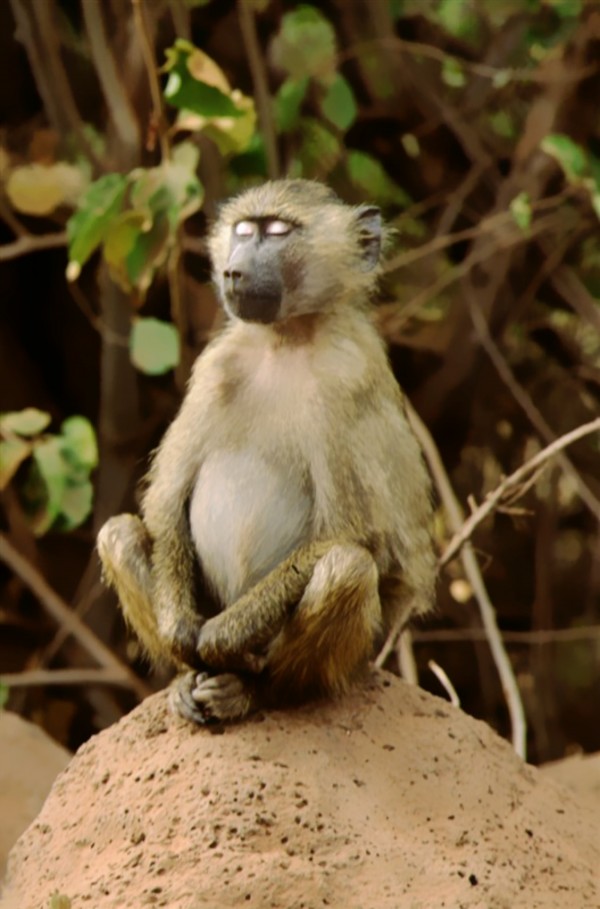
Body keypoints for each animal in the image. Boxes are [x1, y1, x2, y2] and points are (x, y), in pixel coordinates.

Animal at [97, 179, 436, 725]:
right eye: (242, 231)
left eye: (277, 232)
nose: (233, 270)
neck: (285, 339)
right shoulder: (216, 367)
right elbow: (165, 503)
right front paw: (180, 631)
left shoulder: (347, 377)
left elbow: (356, 535)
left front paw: (222, 635)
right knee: (119, 533)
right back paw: (187, 679)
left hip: (357, 655)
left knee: (347, 568)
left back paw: (255, 690)